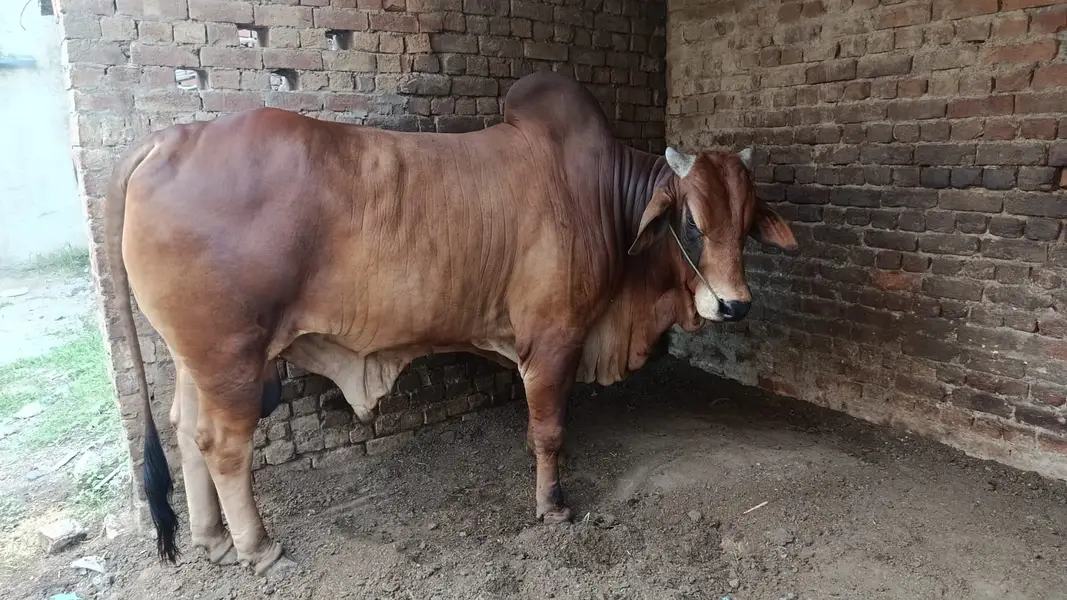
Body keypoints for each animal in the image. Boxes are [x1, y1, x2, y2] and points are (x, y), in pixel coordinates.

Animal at [104, 71, 796, 576]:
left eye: (746, 222)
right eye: (691, 223)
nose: (735, 305)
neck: (604, 196)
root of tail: (172, 137)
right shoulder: (555, 338)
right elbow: (549, 431)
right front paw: (552, 506)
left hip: (200, 358)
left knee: (186, 430)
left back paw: (213, 539)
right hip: (233, 358)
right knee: (223, 445)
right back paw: (256, 547)